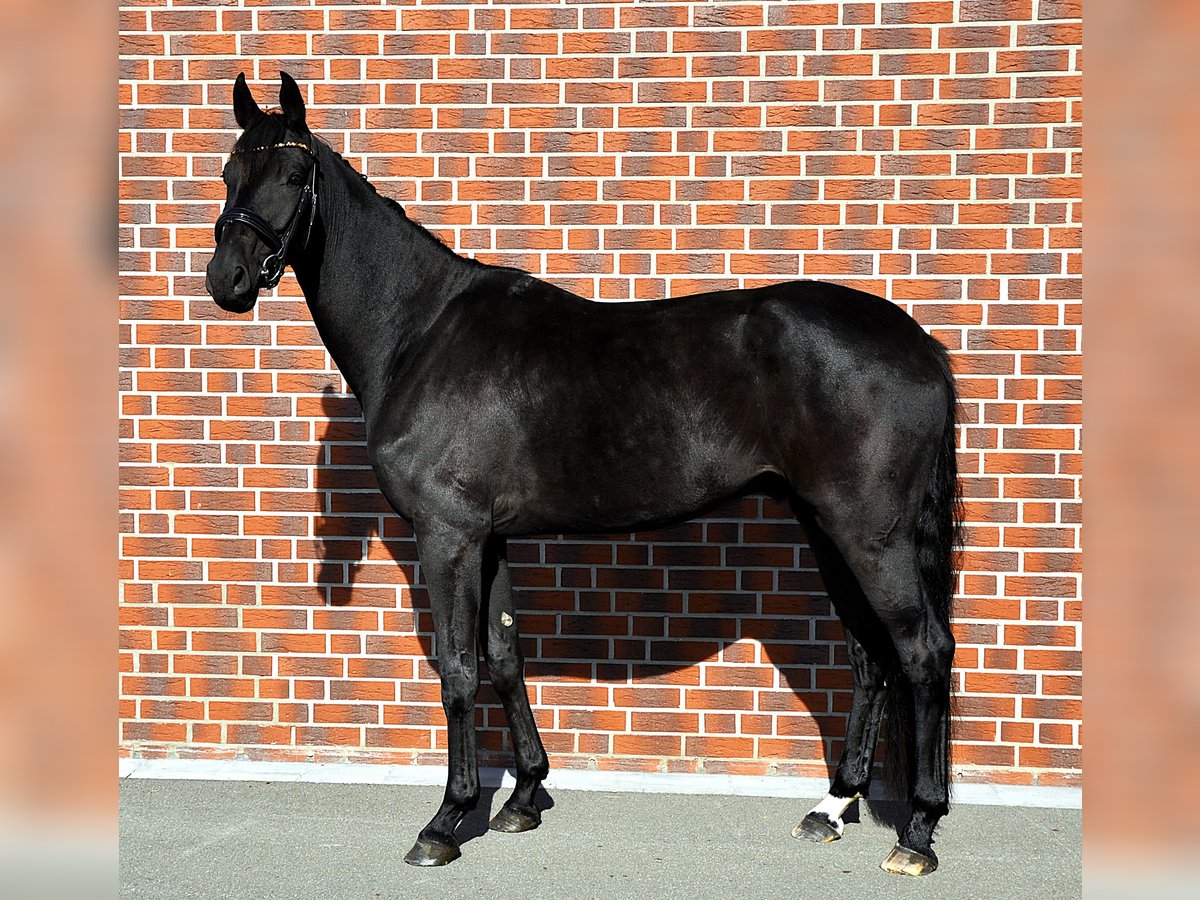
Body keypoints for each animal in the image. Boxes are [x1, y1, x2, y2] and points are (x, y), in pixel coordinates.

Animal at [204, 74, 955, 878]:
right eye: (228, 172)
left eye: (292, 174)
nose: (227, 280)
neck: (421, 332)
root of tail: (919, 344)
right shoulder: (489, 537)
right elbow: (504, 655)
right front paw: (524, 796)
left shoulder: (448, 536)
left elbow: (458, 671)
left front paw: (446, 820)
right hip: (827, 526)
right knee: (870, 656)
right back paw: (832, 807)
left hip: (868, 533)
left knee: (921, 651)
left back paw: (917, 832)